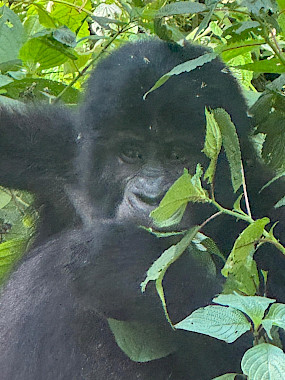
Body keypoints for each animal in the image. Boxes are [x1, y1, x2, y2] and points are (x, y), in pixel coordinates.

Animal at [0, 39, 282, 380]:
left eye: (177, 156)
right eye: (131, 153)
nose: (151, 197)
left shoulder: (270, 213)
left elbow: (257, 341)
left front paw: (129, 261)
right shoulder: (59, 144)